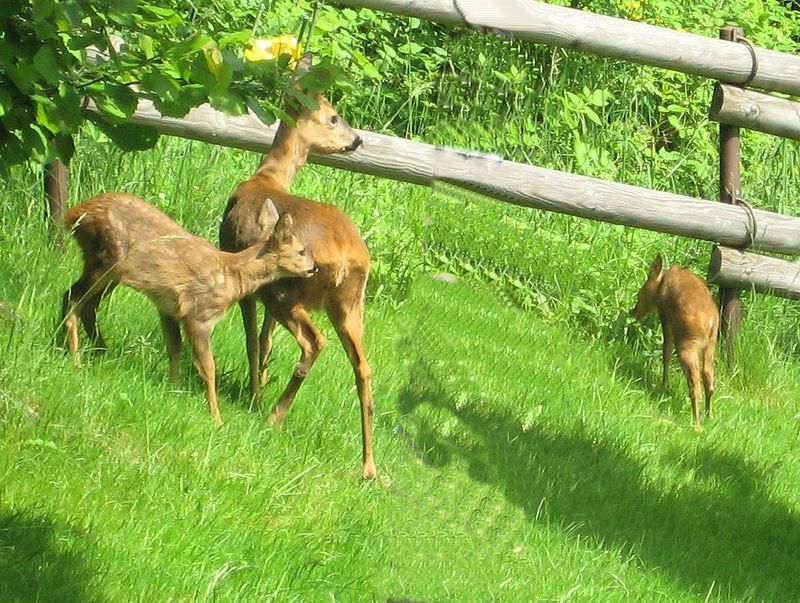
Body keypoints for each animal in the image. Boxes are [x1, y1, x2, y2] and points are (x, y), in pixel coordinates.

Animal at [61, 191, 316, 428]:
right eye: (301, 251)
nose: (314, 268)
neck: (231, 277)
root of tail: (74, 213)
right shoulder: (199, 315)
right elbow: (208, 368)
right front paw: (216, 419)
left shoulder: (169, 309)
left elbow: (174, 348)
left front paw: (173, 392)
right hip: (105, 258)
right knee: (73, 298)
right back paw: (76, 360)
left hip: (109, 270)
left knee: (81, 302)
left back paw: (89, 350)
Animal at [219, 56, 378, 482]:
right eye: (335, 117)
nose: (358, 140)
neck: (268, 176)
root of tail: (345, 254)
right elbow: (265, 339)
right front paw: (258, 381)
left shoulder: (247, 280)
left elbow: (251, 339)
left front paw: (255, 393)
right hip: (351, 302)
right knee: (363, 368)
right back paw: (369, 467)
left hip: (288, 289)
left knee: (313, 342)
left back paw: (273, 415)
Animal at [628, 252, 720, 432]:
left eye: (639, 294)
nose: (632, 311)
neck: (661, 284)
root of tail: (711, 321)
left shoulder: (665, 317)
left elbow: (666, 353)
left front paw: (664, 385)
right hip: (711, 344)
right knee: (708, 377)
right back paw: (710, 416)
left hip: (687, 344)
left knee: (695, 384)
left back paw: (696, 425)